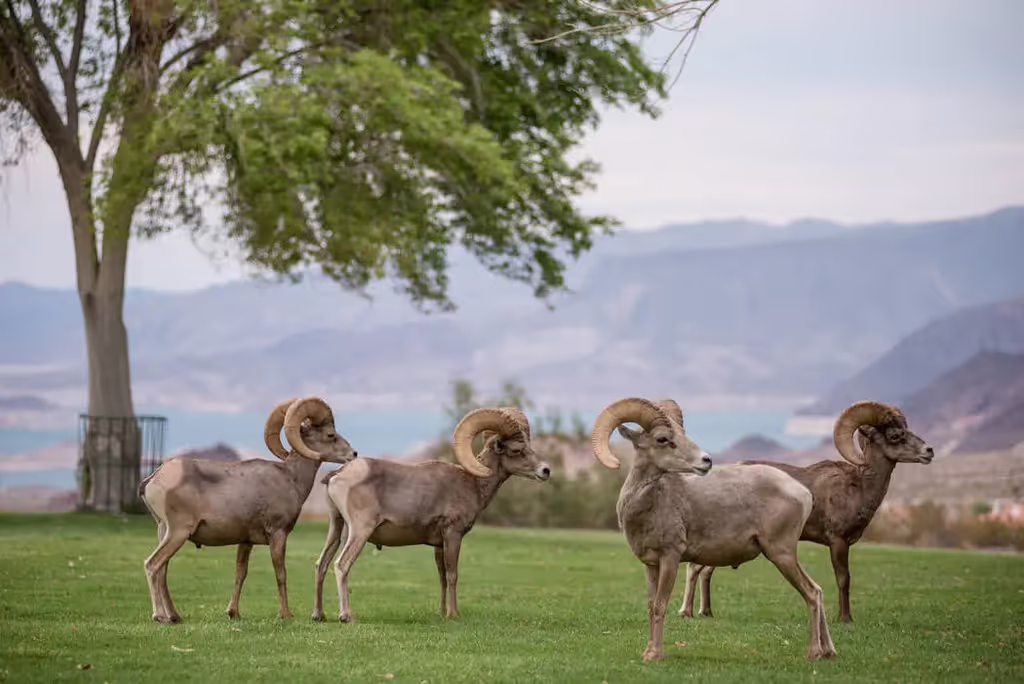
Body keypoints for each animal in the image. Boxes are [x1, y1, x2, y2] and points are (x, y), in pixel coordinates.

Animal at [139, 396, 356, 624]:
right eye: (330, 435)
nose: (354, 454)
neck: (290, 478)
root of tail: (153, 479)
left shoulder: (245, 541)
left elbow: (240, 574)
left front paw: (233, 612)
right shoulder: (278, 534)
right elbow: (281, 573)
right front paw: (285, 614)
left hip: (164, 531)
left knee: (162, 570)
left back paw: (174, 616)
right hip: (178, 532)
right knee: (152, 565)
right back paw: (159, 616)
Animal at [311, 407, 550, 623]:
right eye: (517, 450)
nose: (545, 470)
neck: (473, 484)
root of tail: (337, 474)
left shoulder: (439, 543)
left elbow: (442, 577)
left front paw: (441, 613)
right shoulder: (453, 534)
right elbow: (453, 575)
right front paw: (453, 615)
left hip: (336, 528)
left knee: (321, 564)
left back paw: (318, 615)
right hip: (360, 531)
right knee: (341, 565)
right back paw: (346, 616)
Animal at [591, 397, 836, 661]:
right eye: (662, 439)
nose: (706, 461)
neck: (649, 504)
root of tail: (803, 492)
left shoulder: (670, 558)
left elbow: (660, 605)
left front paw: (655, 655)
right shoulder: (651, 565)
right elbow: (650, 606)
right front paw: (647, 651)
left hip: (781, 554)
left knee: (811, 593)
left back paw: (813, 653)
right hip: (785, 555)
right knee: (818, 590)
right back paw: (828, 651)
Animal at [678, 400, 934, 623]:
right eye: (895, 436)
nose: (929, 451)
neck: (858, 487)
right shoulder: (837, 541)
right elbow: (843, 579)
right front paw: (845, 619)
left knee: (703, 570)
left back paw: (705, 612)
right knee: (695, 568)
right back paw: (687, 613)